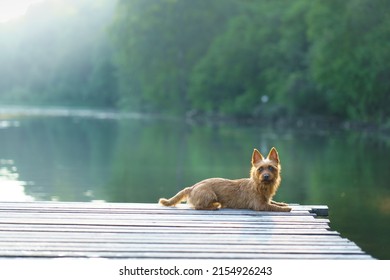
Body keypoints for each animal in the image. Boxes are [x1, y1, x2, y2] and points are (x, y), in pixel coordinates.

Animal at [158, 148, 290, 211]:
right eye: (260, 169)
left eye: (271, 168)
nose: (266, 176)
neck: (259, 185)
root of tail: (192, 187)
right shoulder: (260, 205)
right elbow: (274, 207)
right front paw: (286, 208)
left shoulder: (266, 200)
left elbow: (273, 202)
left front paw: (283, 203)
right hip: (209, 193)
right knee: (198, 206)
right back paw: (214, 206)